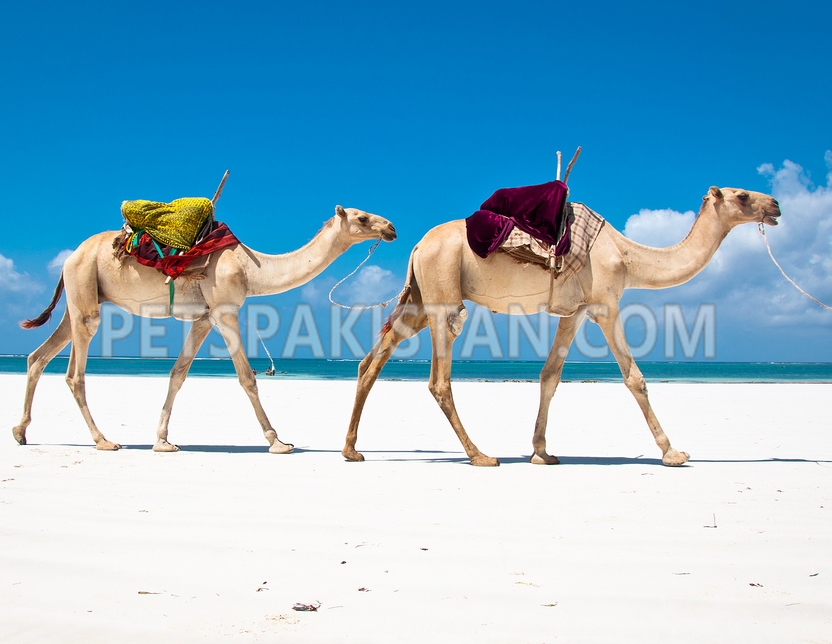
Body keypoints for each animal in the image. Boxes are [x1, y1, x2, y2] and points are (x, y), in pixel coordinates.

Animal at [14, 205, 397, 452]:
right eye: (362, 217)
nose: (391, 227)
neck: (251, 268)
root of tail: (70, 256)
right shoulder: (226, 311)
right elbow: (247, 377)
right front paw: (278, 441)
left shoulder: (204, 317)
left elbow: (178, 373)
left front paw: (163, 441)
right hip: (84, 293)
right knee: (74, 373)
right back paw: (104, 440)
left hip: (81, 297)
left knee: (38, 356)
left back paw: (20, 432)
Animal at [342, 186, 781, 466]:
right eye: (742, 195)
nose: (775, 204)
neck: (626, 255)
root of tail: (417, 245)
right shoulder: (605, 304)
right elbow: (634, 377)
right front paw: (672, 452)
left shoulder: (575, 311)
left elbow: (550, 375)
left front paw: (542, 452)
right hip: (442, 296)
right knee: (438, 381)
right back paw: (480, 455)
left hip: (418, 300)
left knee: (373, 359)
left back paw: (351, 450)